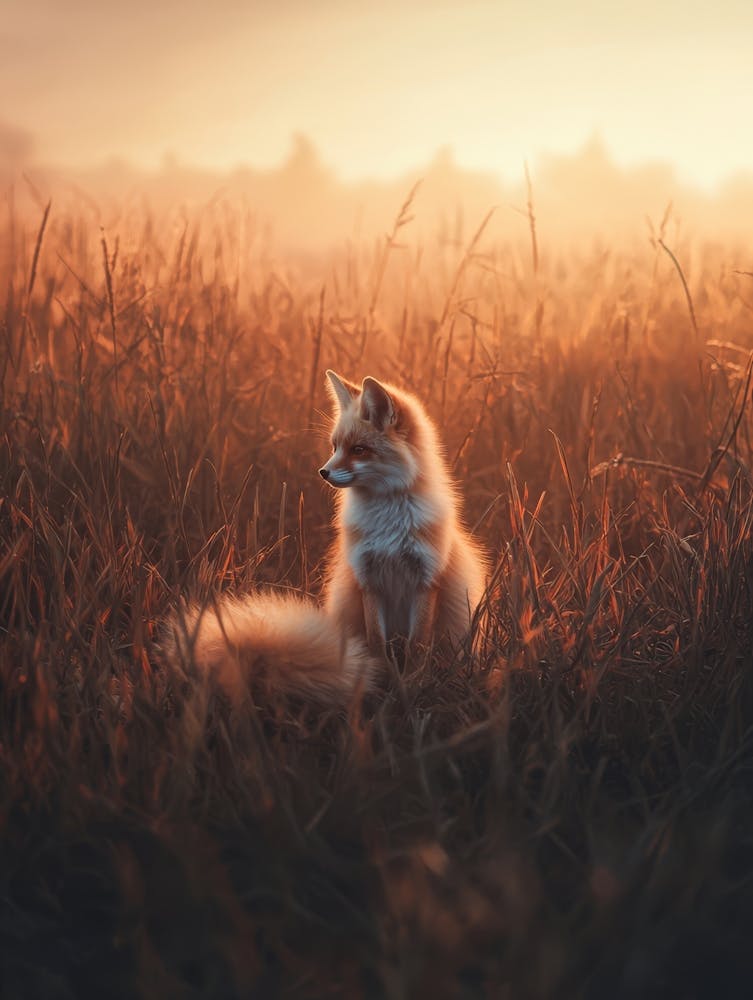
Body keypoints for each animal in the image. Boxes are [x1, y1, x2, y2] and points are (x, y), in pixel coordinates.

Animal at [165, 371, 487, 703]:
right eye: (335, 447)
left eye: (359, 449)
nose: (323, 472)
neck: (389, 527)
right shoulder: (368, 579)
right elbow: (376, 642)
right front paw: (378, 682)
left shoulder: (426, 579)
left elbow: (417, 645)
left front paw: (412, 685)